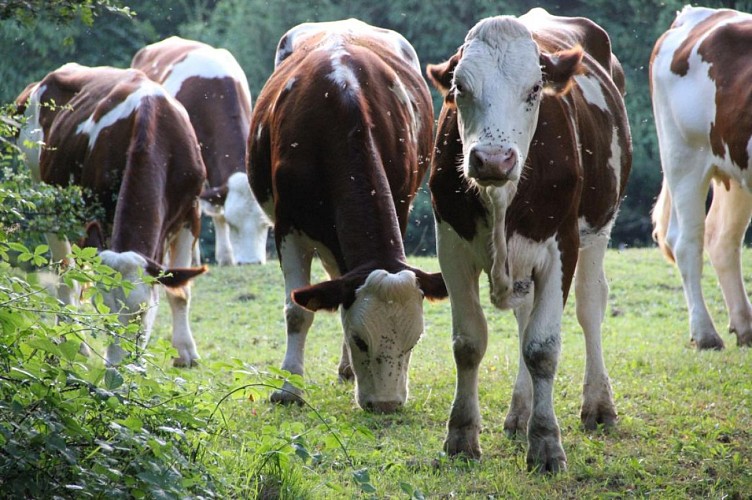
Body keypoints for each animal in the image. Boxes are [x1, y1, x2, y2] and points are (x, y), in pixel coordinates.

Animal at [16, 62, 209, 368]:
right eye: (104, 313)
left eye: (143, 312)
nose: (118, 368)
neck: (152, 125)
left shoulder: (191, 212)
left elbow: (180, 292)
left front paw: (185, 353)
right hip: (45, 198)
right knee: (66, 276)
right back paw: (72, 343)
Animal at [247, 17, 446, 412]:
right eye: (360, 339)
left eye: (414, 341)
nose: (386, 404)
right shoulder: (287, 227)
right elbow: (298, 312)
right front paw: (288, 388)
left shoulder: (400, 205)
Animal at [426, 8, 632, 472]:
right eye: (460, 87)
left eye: (534, 88)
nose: (493, 159)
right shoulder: (450, 245)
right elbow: (469, 342)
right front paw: (461, 435)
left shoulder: (561, 246)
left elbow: (542, 348)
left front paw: (546, 442)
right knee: (524, 317)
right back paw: (519, 413)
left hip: (599, 230)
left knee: (590, 306)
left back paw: (598, 405)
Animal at [648, 6, 752, 352]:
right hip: (684, 156)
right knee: (686, 242)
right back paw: (706, 334)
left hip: (734, 165)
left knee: (722, 238)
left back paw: (745, 327)